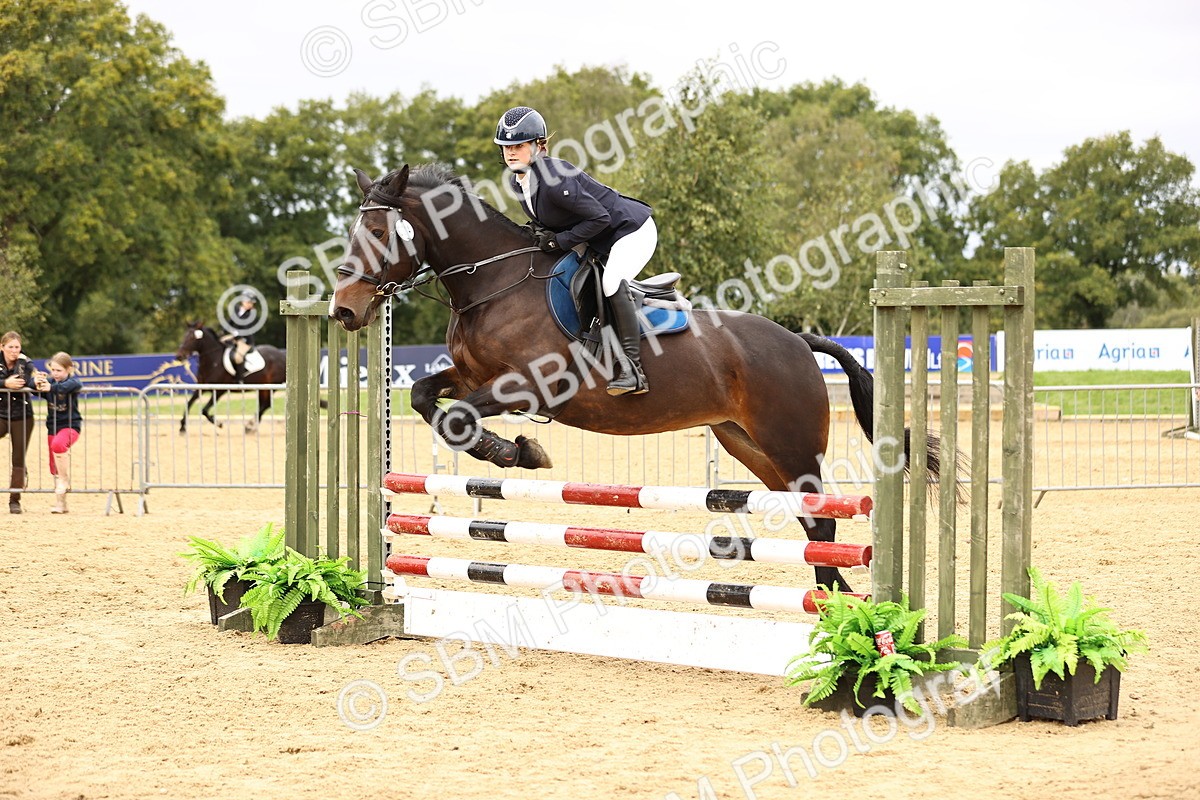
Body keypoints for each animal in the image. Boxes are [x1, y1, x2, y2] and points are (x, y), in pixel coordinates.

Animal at [329, 164, 944, 592]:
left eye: (379, 230)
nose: (343, 311)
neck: (494, 283)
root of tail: (798, 341)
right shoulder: (471, 374)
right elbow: (425, 396)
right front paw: (512, 450)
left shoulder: (531, 384)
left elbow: (457, 416)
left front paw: (518, 452)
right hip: (748, 444)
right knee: (810, 523)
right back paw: (832, 598)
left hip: (790, 442)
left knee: (822, 520)